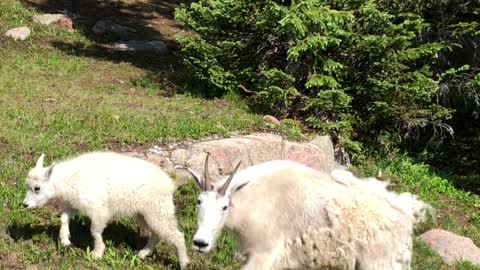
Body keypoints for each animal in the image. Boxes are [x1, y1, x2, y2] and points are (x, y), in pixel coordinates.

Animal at [21, 151, 189, 268]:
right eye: (26, 186)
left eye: (37, 188)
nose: (25, 205)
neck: (70, 179)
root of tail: (171, 185)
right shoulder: (74, 203)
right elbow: (64, 217)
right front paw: (65, 241)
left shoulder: (98, 209)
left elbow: (95, 231)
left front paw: (97, 253)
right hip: (144, 213)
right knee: (157, 233)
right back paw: (143, 253)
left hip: (158, 210)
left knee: (177, 235)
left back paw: (184, 263)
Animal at [188, 154, 432, 270]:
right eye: (199, 201)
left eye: (224, 206)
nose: (200, 243)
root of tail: (407, 219)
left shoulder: (265, 253)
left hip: (379, 264)